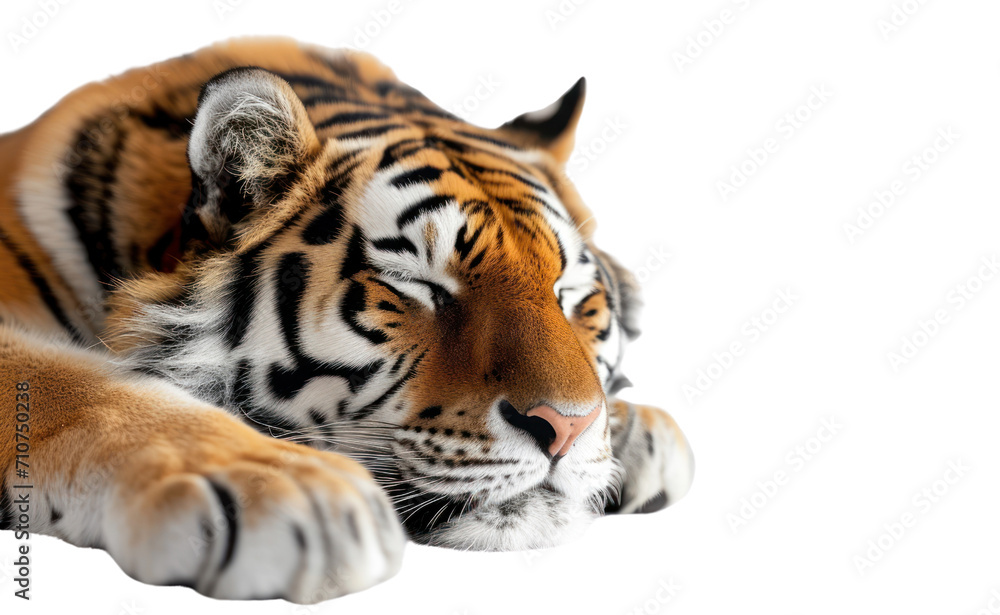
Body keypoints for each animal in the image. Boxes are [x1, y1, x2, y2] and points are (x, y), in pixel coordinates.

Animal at [0, 37, 693, 603]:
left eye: (571, 296)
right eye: (416, 287)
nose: (568, 428)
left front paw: (636, 428)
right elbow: (79, 383)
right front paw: (290, 491)